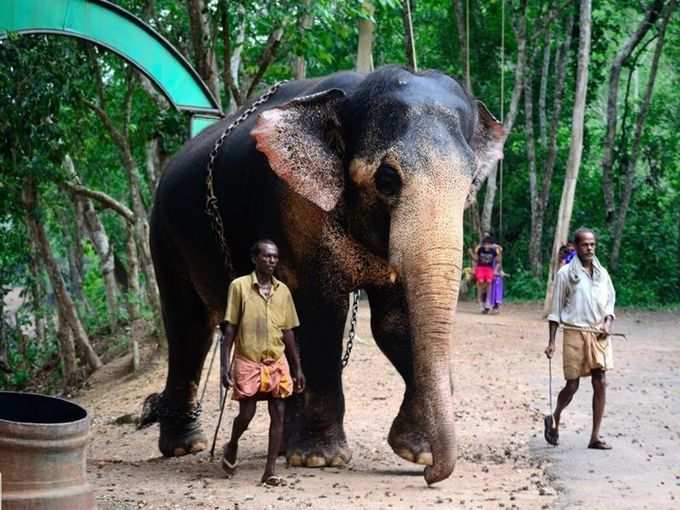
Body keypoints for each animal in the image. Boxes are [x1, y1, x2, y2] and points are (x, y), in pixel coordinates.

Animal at [143, 65, 504, 484]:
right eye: (387, 179)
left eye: (471, 183)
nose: (432, 476)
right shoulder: (297, 206)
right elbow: (323, 315)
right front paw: (322, 458)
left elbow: (395, 323)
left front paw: (415, 452)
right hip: (164, 232)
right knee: (188, 327)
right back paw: (187, 446)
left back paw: (282, 447)